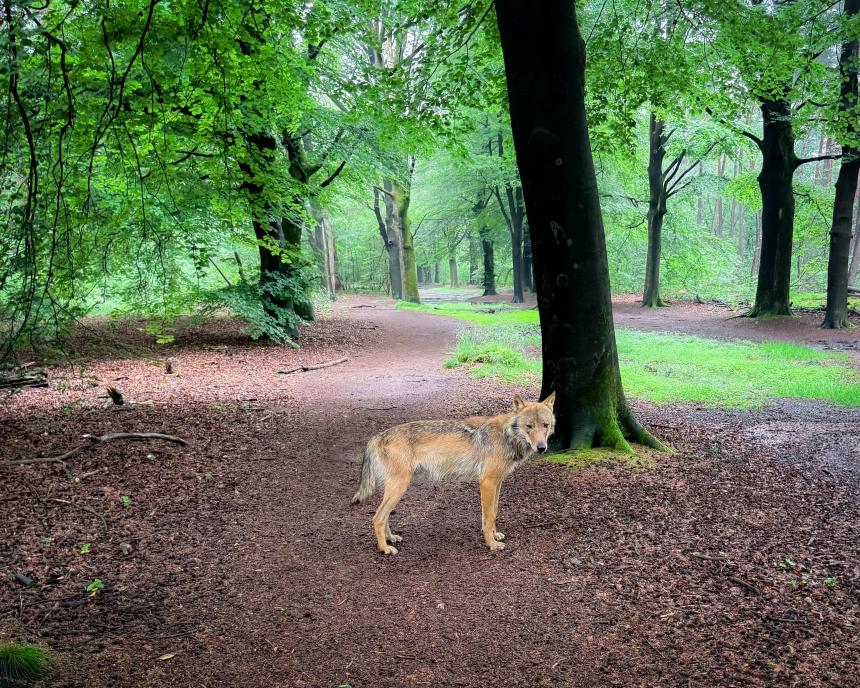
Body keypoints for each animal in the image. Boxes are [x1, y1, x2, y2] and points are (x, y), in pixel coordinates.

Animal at [351, 393, 556, 554]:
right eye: (529, 426)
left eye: (545, 425)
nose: (541, 448)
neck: (507, 435)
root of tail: (378, 436)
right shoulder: (486, 482)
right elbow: (488, 517)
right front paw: (491, 544)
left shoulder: (497, 483)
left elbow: (493, 513)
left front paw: (495, 536)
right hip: (399, 487)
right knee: (377, 517)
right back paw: (384, 548)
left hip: (395, 489)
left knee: (384, 515)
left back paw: (390, 538)